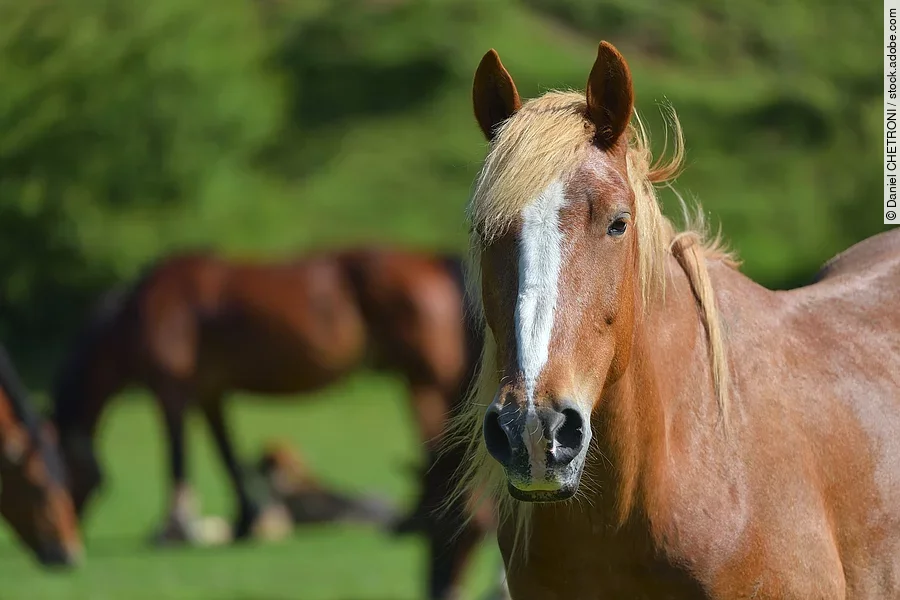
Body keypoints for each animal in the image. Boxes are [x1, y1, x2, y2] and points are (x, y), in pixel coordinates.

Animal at [50, 246, 491, 599]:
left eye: (62, 477)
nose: (67, 544)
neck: (141, 312)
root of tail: (435, 260)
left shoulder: (171, 388)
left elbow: (177, 456)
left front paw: (173, 528)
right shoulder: (211, 393)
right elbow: (227, 454)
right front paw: (244, 522)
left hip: (424, 381)